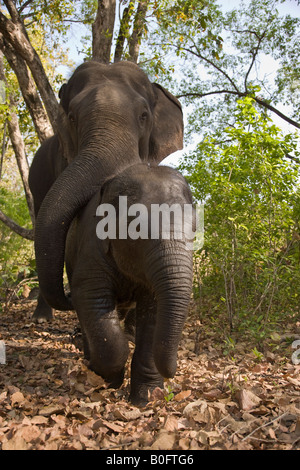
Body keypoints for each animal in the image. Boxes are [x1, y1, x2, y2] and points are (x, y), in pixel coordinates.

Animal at [64, 163, 193, 406]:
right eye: (136, 226)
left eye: (195, 228)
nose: (172, 372)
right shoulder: (91, 248)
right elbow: (89, 296)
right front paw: (106, 381)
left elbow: (153, 313)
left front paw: (145, 399)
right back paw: (89, 359)